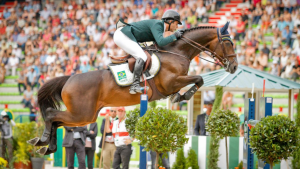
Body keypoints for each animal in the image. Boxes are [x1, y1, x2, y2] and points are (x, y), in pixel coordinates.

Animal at [29, 21, 238, 154]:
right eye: (228, 43)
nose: (234, 67)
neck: (176, 52)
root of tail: (69, 79)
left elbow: (198, 79)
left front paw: (180, 97)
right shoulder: (171, 82)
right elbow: (199, 79)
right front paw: (181, 97)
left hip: (85, 116)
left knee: (57, 120)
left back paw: (45, 145)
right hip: (82, 114)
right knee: (51, 115)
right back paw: (42, 140)